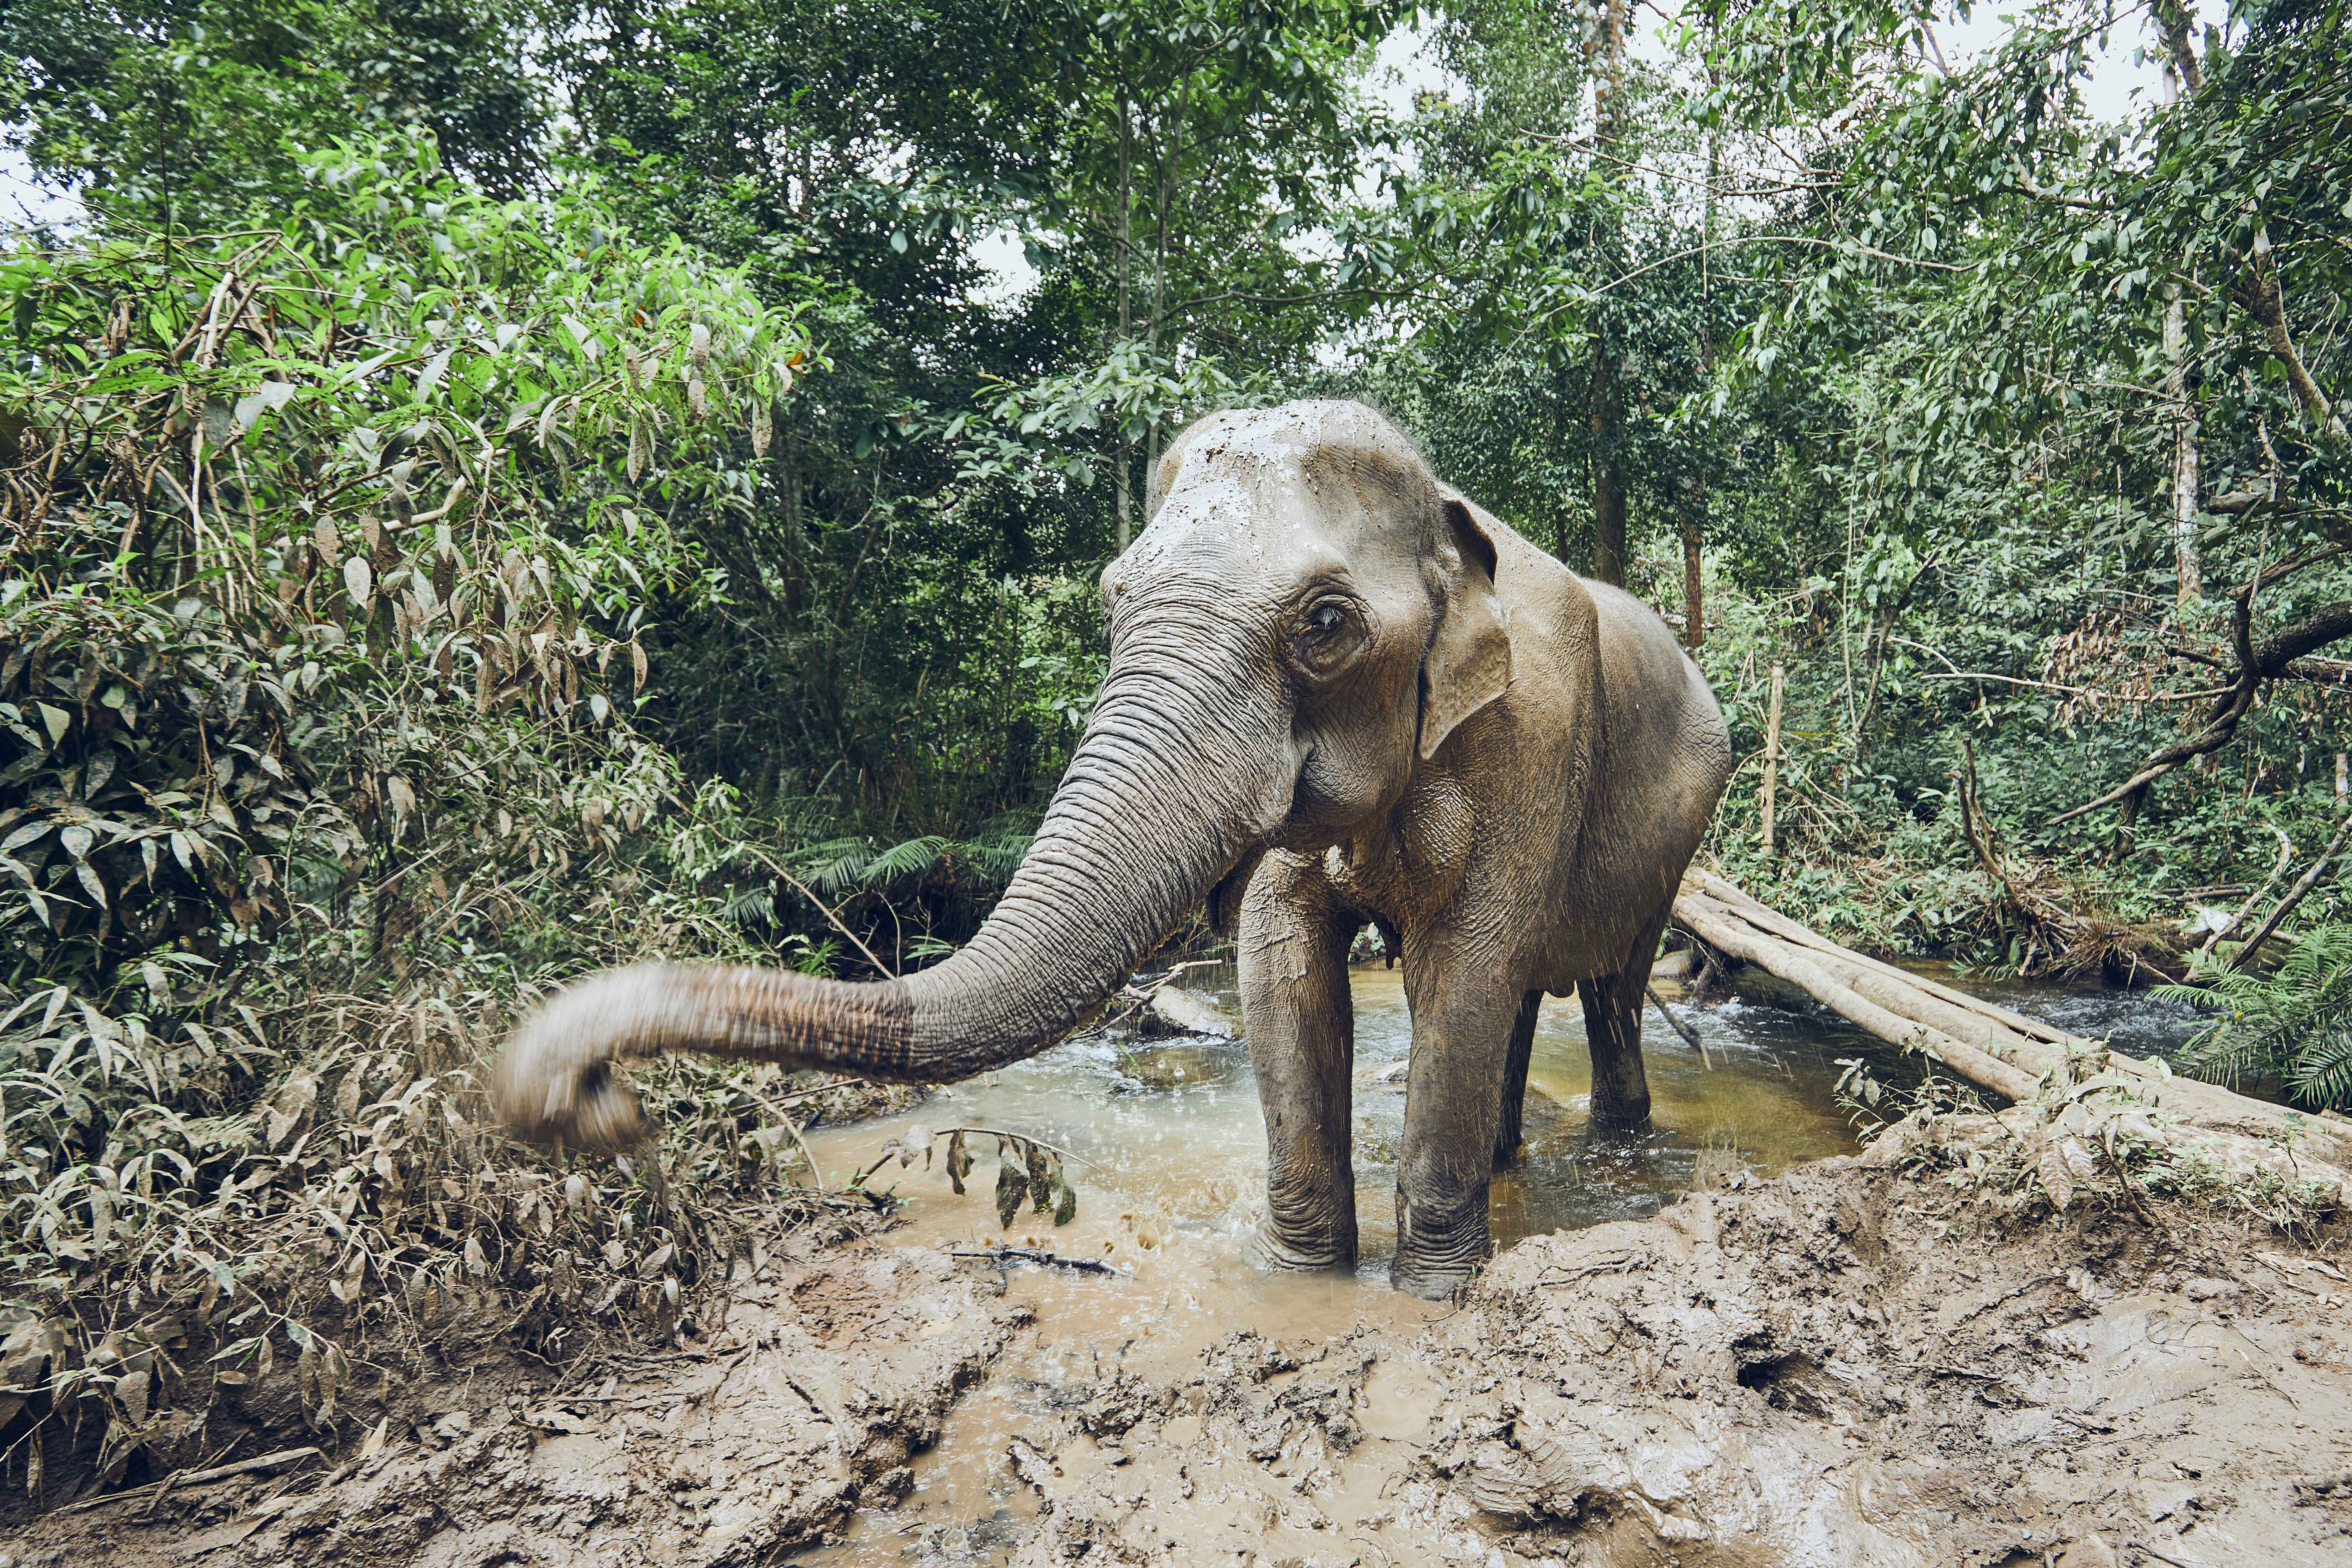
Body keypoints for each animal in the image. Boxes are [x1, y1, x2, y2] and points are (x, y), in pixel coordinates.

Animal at [492, 399, 1732, 1297]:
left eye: (1325, 624)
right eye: (1108, 595)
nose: (600, 1105)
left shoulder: (1531, 740)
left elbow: (1461, 971)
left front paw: (1431, 1297)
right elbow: (1281, 972)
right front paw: (1302, 1283)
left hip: (1674, 827)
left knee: (1605, 987)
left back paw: (1614, 1147)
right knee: (1527, 998)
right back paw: (1512, 1159)